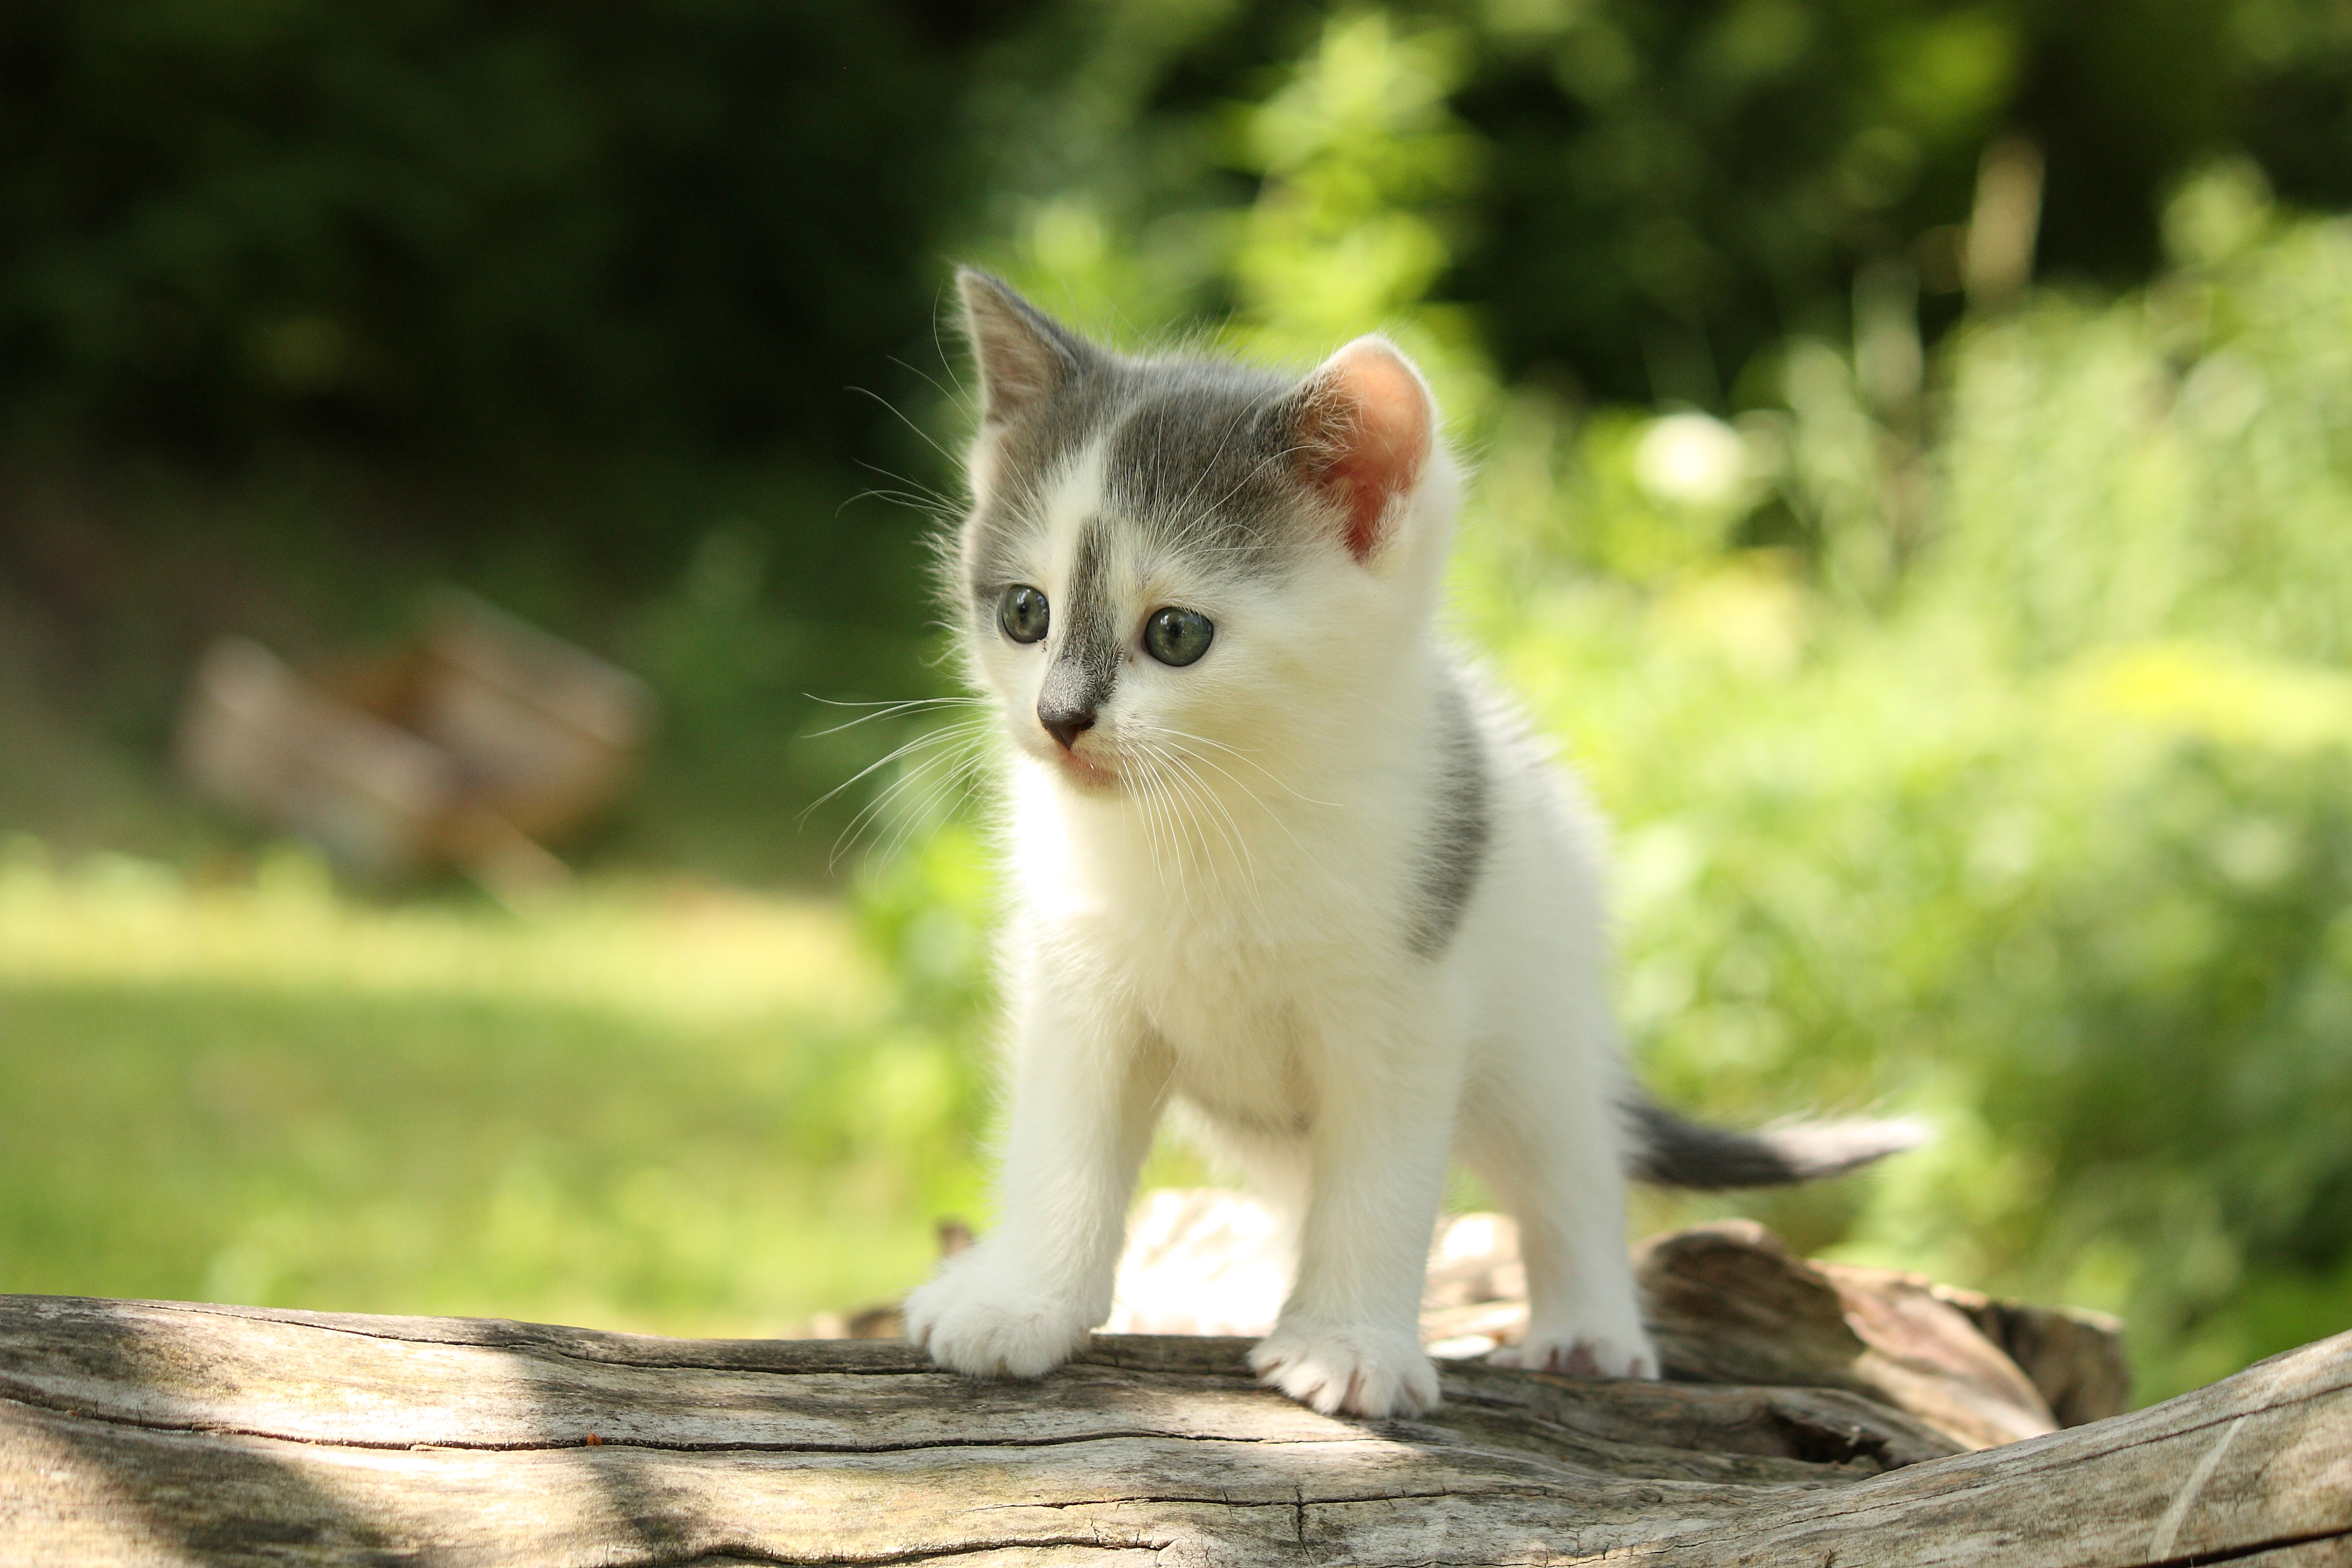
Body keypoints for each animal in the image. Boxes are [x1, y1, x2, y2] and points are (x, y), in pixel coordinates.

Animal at [898, 270, 1910, 1420]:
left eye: (1176, 635)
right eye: (1025, 613)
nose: (1061, 717)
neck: (1210, 818)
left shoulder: (1406, 1001)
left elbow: (1380, 1184)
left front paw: (1347, 1345)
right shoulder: (1074, 981)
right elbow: (1063, 1145)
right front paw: (1021, 1301)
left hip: (1541, 1018)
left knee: (1569, 1166)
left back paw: (1588, 1326)